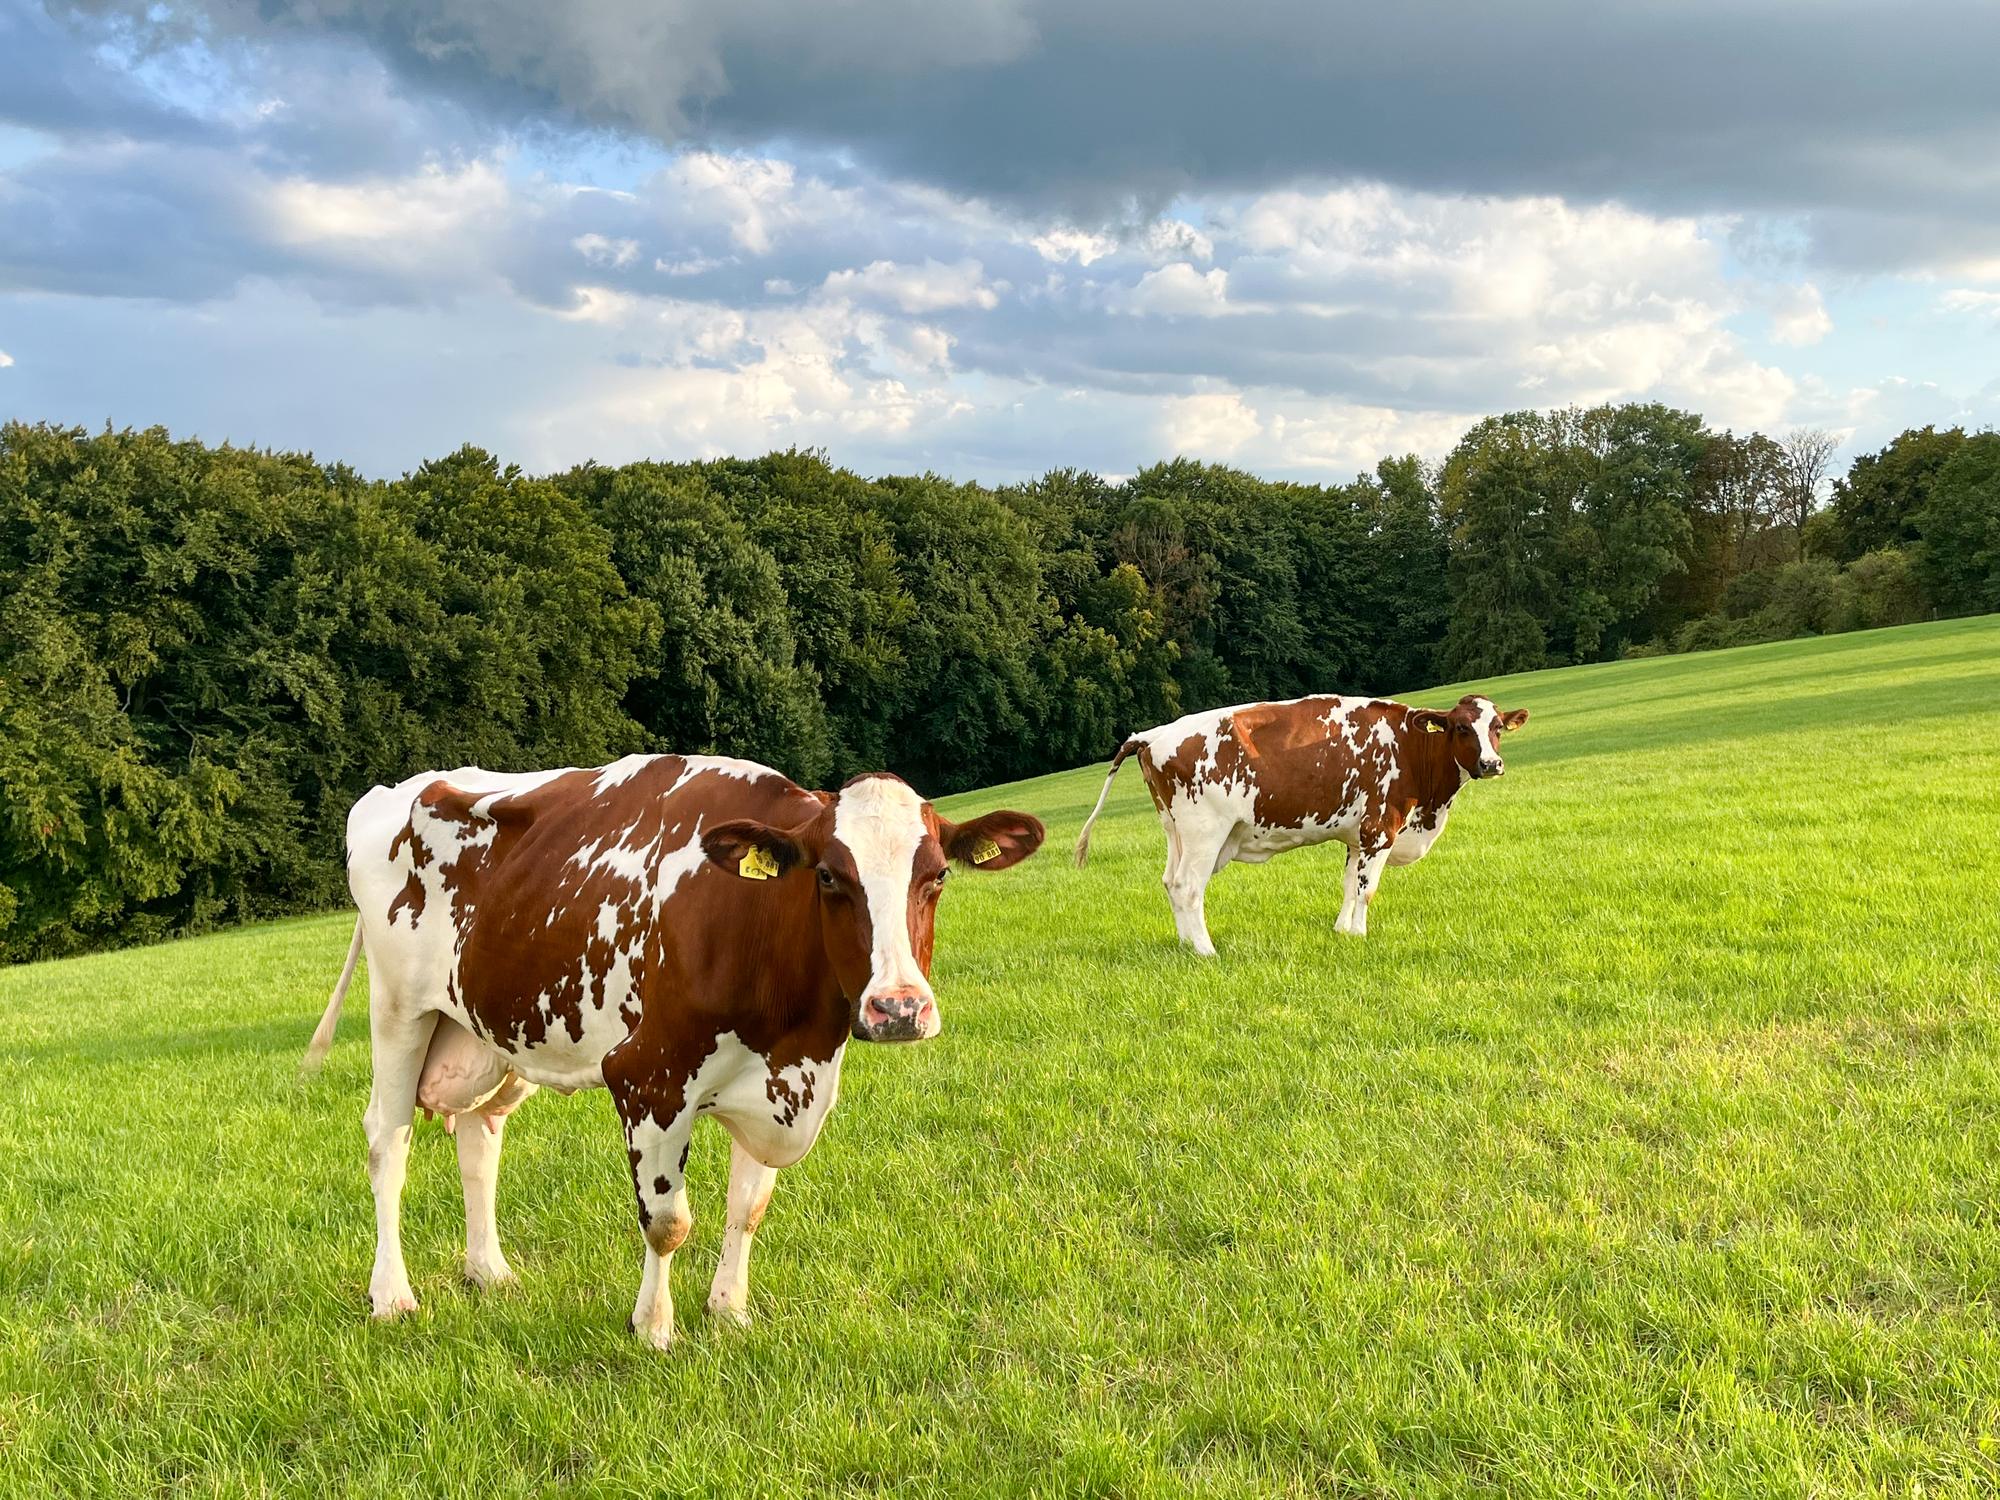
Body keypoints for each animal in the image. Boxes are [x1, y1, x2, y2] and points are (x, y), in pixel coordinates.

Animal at [301, 754, 1044, 1347]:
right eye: (830, 877)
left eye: (938, 875)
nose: (898, 1009)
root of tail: (399, 787)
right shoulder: (647, 1080)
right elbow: (666, 1222)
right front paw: (654, 1328)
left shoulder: (774, 1078)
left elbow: (748, 1209)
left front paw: (729, 1312)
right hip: (399, 1011)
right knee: (387, 1143)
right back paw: (391, 1294)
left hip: (503, 1030)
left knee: (479, 1132)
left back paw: (490, 1270)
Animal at [1072, 694, 1527, 955]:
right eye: (1461, 727)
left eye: (1497, 727)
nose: (1492, 764)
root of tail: (1151, 734)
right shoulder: (1379, 828)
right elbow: (1367, 889)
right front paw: (1360, 935)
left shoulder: (1356, 836)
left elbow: (1348, 884)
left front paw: (1343, 932)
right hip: (1205, 832)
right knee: (1187, 886)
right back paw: (1206, 951)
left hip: (1175, 831)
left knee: (1170, 882)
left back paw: (1186, 944)